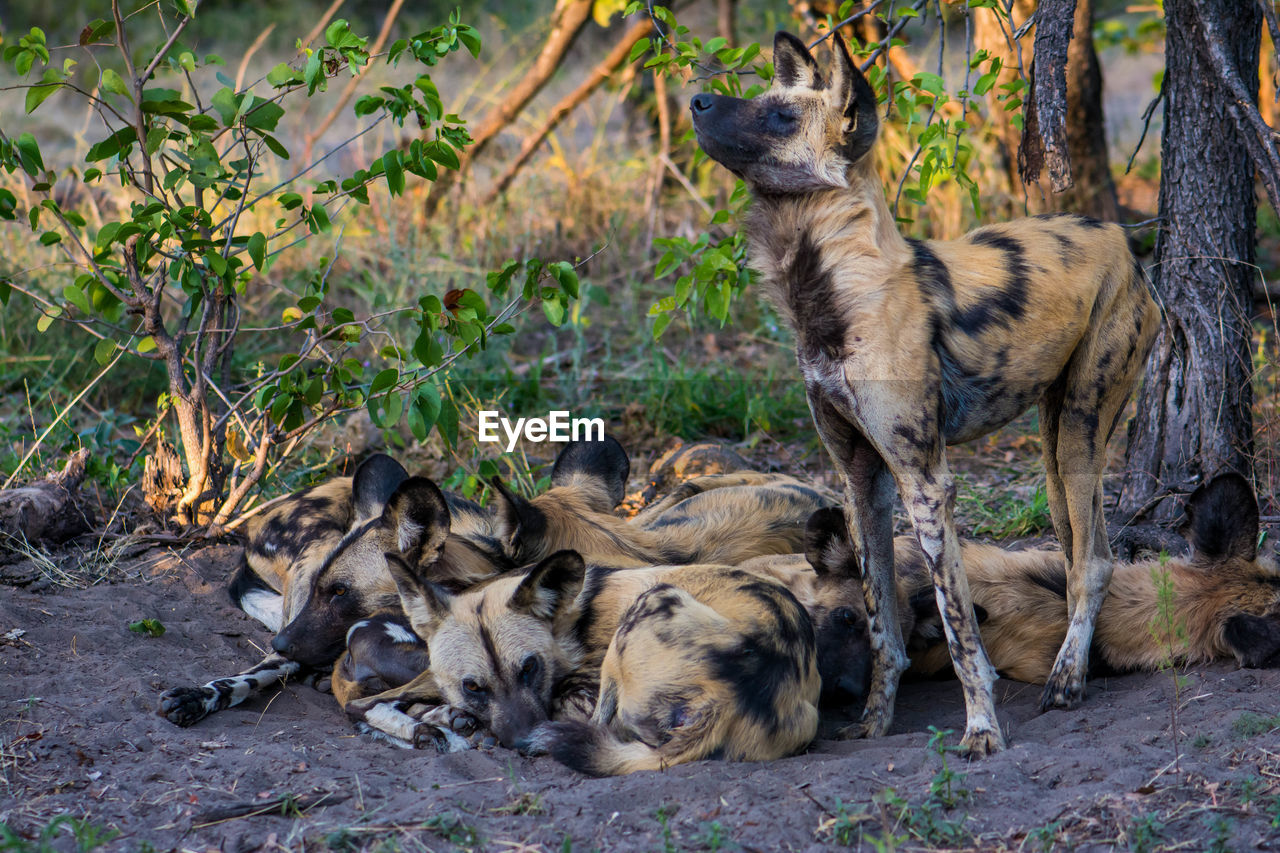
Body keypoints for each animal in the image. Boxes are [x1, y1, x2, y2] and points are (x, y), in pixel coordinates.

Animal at [691, 31, 1162, 753]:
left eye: (780, 116)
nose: (697, 98)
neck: (825, 300)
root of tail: (1118, 235)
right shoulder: (860, 478)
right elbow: (882, 622)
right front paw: (875, 722)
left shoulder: (925, 482)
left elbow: (958, 626)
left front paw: (982, 730)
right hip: (1055, 455)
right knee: (1081, 552)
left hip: (1082, 432)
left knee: (1094, 564)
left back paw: (1065, 680)